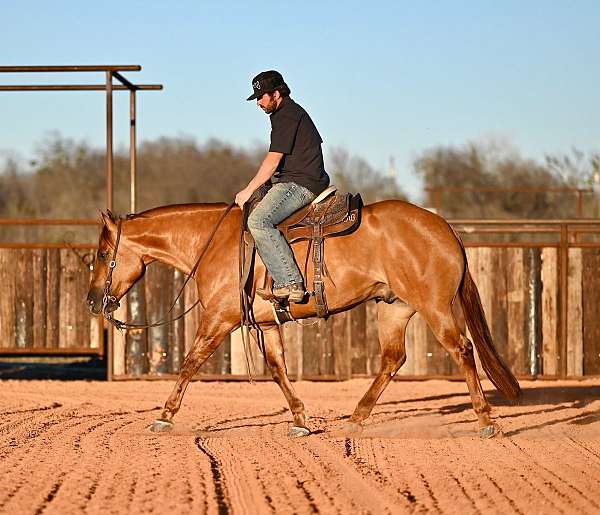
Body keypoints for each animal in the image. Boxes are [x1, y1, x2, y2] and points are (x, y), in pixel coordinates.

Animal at [85, 201, 520, 440]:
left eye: (103, 253)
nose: (92, 302)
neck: (213, 244)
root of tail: (445, 229)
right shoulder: (266, 326)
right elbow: (278, 369)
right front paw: (300, 420)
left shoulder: (218, 320)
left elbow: (190, 363)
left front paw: (164, 417)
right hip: (394, 307)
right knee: (392, 359)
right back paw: (356, 419)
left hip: (434, 307)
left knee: (462, 350)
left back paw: (486, 421)